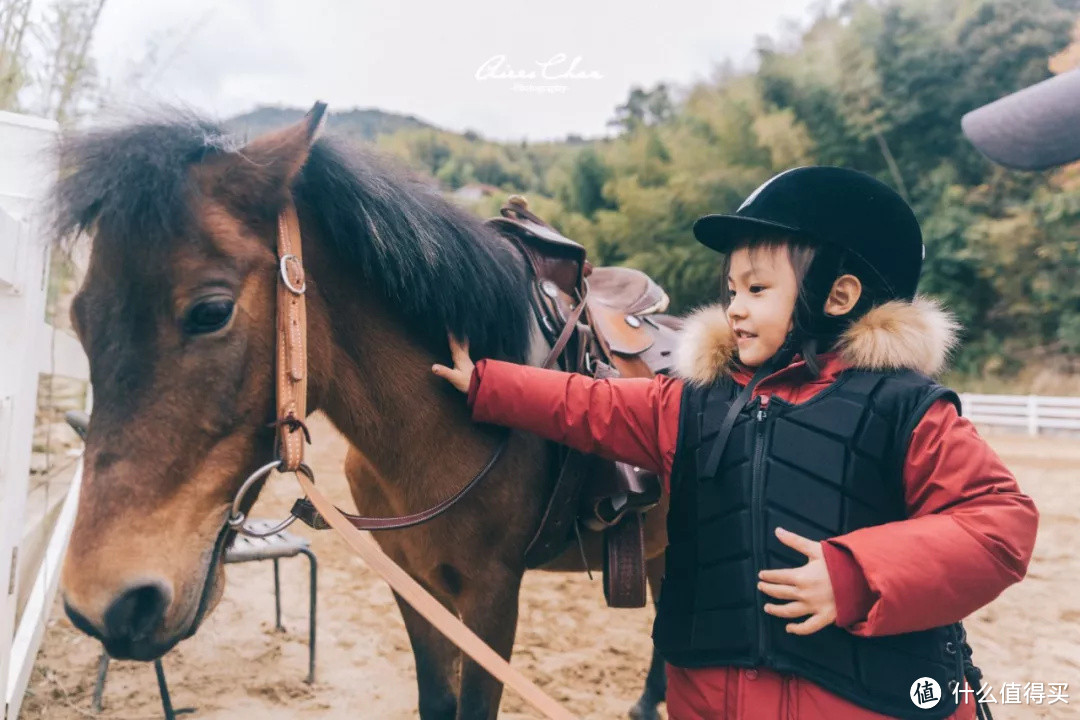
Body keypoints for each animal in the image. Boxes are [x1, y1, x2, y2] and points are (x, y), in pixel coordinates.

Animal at [54, 110, 669, 716]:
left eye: (212, 311)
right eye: (79, 319)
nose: (106, 603)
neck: (438, 431)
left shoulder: (492, 597)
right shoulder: (413, 584)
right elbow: (435, 698)